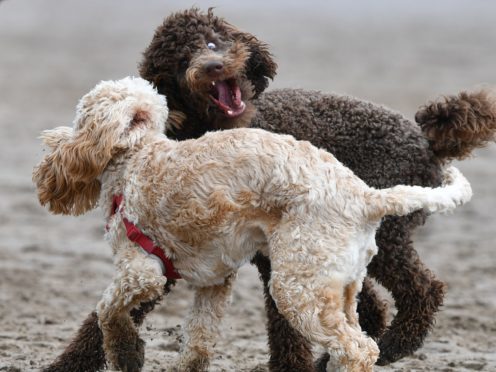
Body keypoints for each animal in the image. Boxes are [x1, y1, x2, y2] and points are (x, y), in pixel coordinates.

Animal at [33, 77, 470, 370]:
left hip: (297, 287)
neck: (139, 155)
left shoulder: (141, 270)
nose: (53, 143)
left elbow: (108, 312)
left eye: (80, 116)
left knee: (358, 349)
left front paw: (126, 353)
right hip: (342, 288)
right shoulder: (213, 283)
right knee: (364, 340)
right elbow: (198, 343)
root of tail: (366, 196)